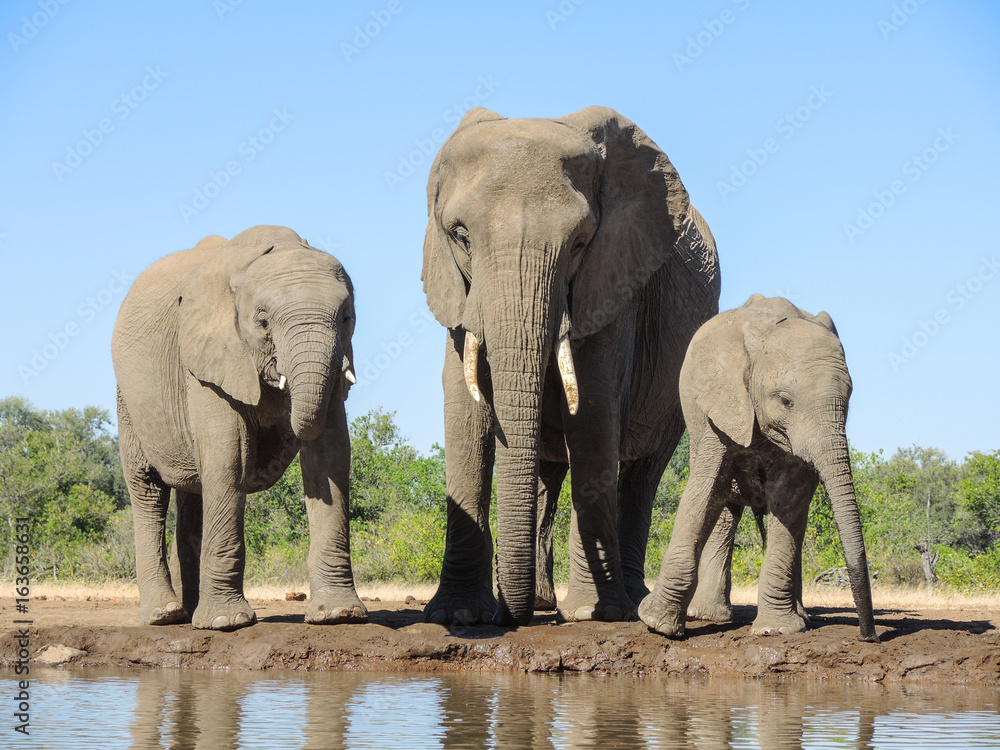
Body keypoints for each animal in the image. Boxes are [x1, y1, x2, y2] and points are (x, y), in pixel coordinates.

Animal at [111, 225, 366, 630]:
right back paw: (165, 616)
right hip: (128, 399)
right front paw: (227, 622)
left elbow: (330, 455)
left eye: (346, 317)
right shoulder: (207, 361)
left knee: (194, 490)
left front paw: (338, 615)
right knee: (148, 488)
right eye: (262, 321)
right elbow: (228, 455)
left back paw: (192, 612)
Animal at [420, 105, 721, 626]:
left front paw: (592, 613)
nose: (508, 619)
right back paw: (542, 603)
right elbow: (464, 412)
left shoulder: (617, 280)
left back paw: (627, 599)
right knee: (547, 472)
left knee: (644, 473)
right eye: (460, 237)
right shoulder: (456, 291)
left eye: (580, 242)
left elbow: (596, 411)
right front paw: (458, 615)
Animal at [638, 295, 879, 642]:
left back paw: (799, 617)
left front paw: (776, 630)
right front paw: (657, 625)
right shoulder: (722, 404)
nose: (868, 636)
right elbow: (705, 489)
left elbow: (790, 497)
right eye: (785, 400)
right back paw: (708, 615)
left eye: (846, 400)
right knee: (724, 509)